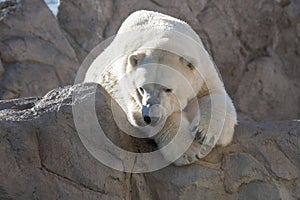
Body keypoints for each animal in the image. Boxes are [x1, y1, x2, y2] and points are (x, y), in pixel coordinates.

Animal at [84, 9, 237, 166]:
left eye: (168, 89)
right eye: (141, 89)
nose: (149, 117)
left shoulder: (202, 67)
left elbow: (213, 94)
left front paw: (204, 134)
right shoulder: (127, 87)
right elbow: (148, 118)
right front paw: (190, 151)